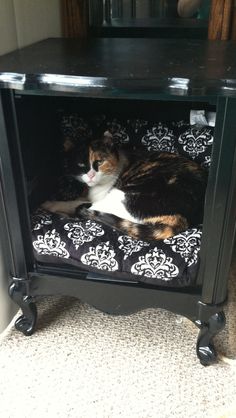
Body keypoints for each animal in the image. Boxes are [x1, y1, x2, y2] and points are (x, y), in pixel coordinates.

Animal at [42, 132, 206, 240]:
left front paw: (50, 204)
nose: (91, 175)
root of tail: (182, 220)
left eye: (99, 162)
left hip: (123, 196)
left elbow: (74, 202)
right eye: (81, 164)